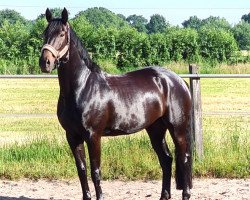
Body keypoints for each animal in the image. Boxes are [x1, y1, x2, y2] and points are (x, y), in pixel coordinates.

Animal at [39, 8, 192, 200]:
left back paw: (186, 194)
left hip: (177, 128)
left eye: (61, 33)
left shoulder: (93, 136)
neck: (83, 87)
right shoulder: (72, 136)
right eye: (44, 33)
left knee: (184, 158)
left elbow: (95, 171)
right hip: (155, 129)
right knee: (166, 160)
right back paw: (164, 195)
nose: (45, 62)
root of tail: (178, 80)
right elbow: (82, 171)